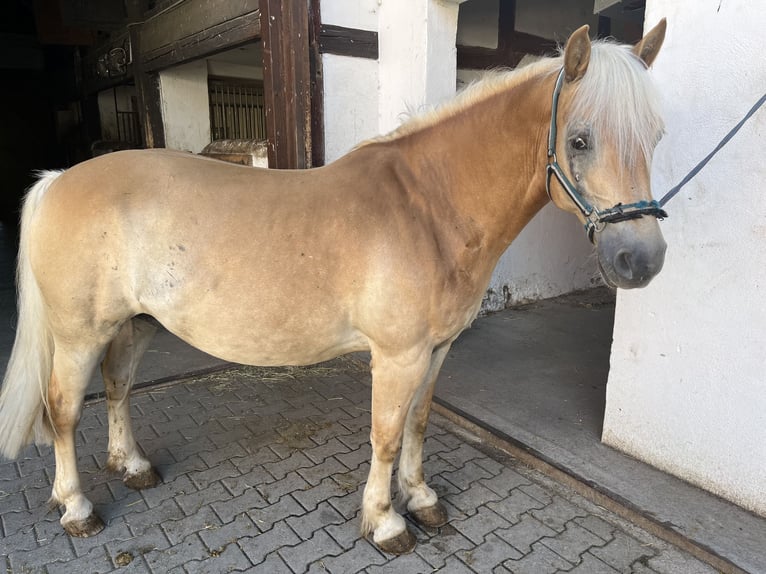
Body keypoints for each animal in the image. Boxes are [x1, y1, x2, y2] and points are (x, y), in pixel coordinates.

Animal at [0, 21, 667, 554]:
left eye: (656, 136)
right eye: (579, 139)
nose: (641, 260)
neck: (428, 207)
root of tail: (57, 179)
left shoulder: (436, 351)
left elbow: (418, 425)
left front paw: (422, 500)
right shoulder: (397, 357)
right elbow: (387, 436)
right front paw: (386, 523)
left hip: (133, 325)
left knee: (117, 389)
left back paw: (133, 466)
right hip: (79, 335)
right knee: (63, 411)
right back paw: (77, 508)